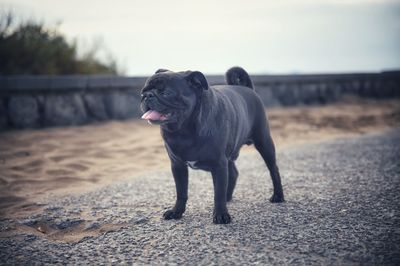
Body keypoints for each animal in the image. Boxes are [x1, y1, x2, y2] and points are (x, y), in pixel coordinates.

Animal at [141, 67, 284, 224]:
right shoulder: (178, 166)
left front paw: (221, 214)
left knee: (273, 170)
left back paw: (278, 196)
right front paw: (176, 212)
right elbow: (181, 192)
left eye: (166, 93)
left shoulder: (219, 164)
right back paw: (228, 197)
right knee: (233, 173)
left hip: (263, 142)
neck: (184, 130)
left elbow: (218, 191)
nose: (147, 96)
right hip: (229, 155)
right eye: (142, 92)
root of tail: (248, 88)